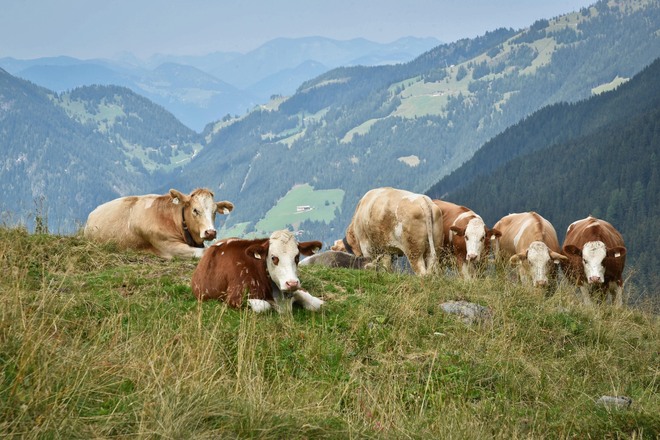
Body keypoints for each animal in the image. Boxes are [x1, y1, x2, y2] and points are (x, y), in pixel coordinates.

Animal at [191, 230, 324, 313]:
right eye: (274, 258)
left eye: (297, 257)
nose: (291, 283)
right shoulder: (234, 298)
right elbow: (264, 306)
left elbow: (317, 304)